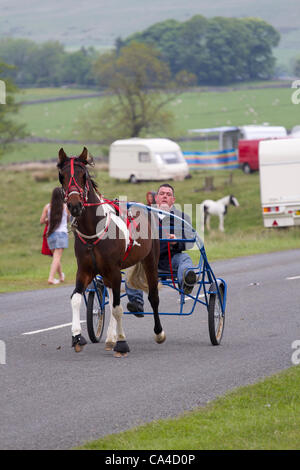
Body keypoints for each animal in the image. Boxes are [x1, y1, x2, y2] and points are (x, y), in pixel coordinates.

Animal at [57, 147, 165, 356]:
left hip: (150, 260)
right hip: (106, 273)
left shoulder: (114, 270)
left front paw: (122, 343)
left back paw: (158, 333)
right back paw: (109, 338)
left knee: (153, 297)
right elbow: (76, 299)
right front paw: (77, 336)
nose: (75, 205)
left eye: (83, 175)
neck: (93, 231)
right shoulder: (85, 270)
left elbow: (117, 308)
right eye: (62, 176)